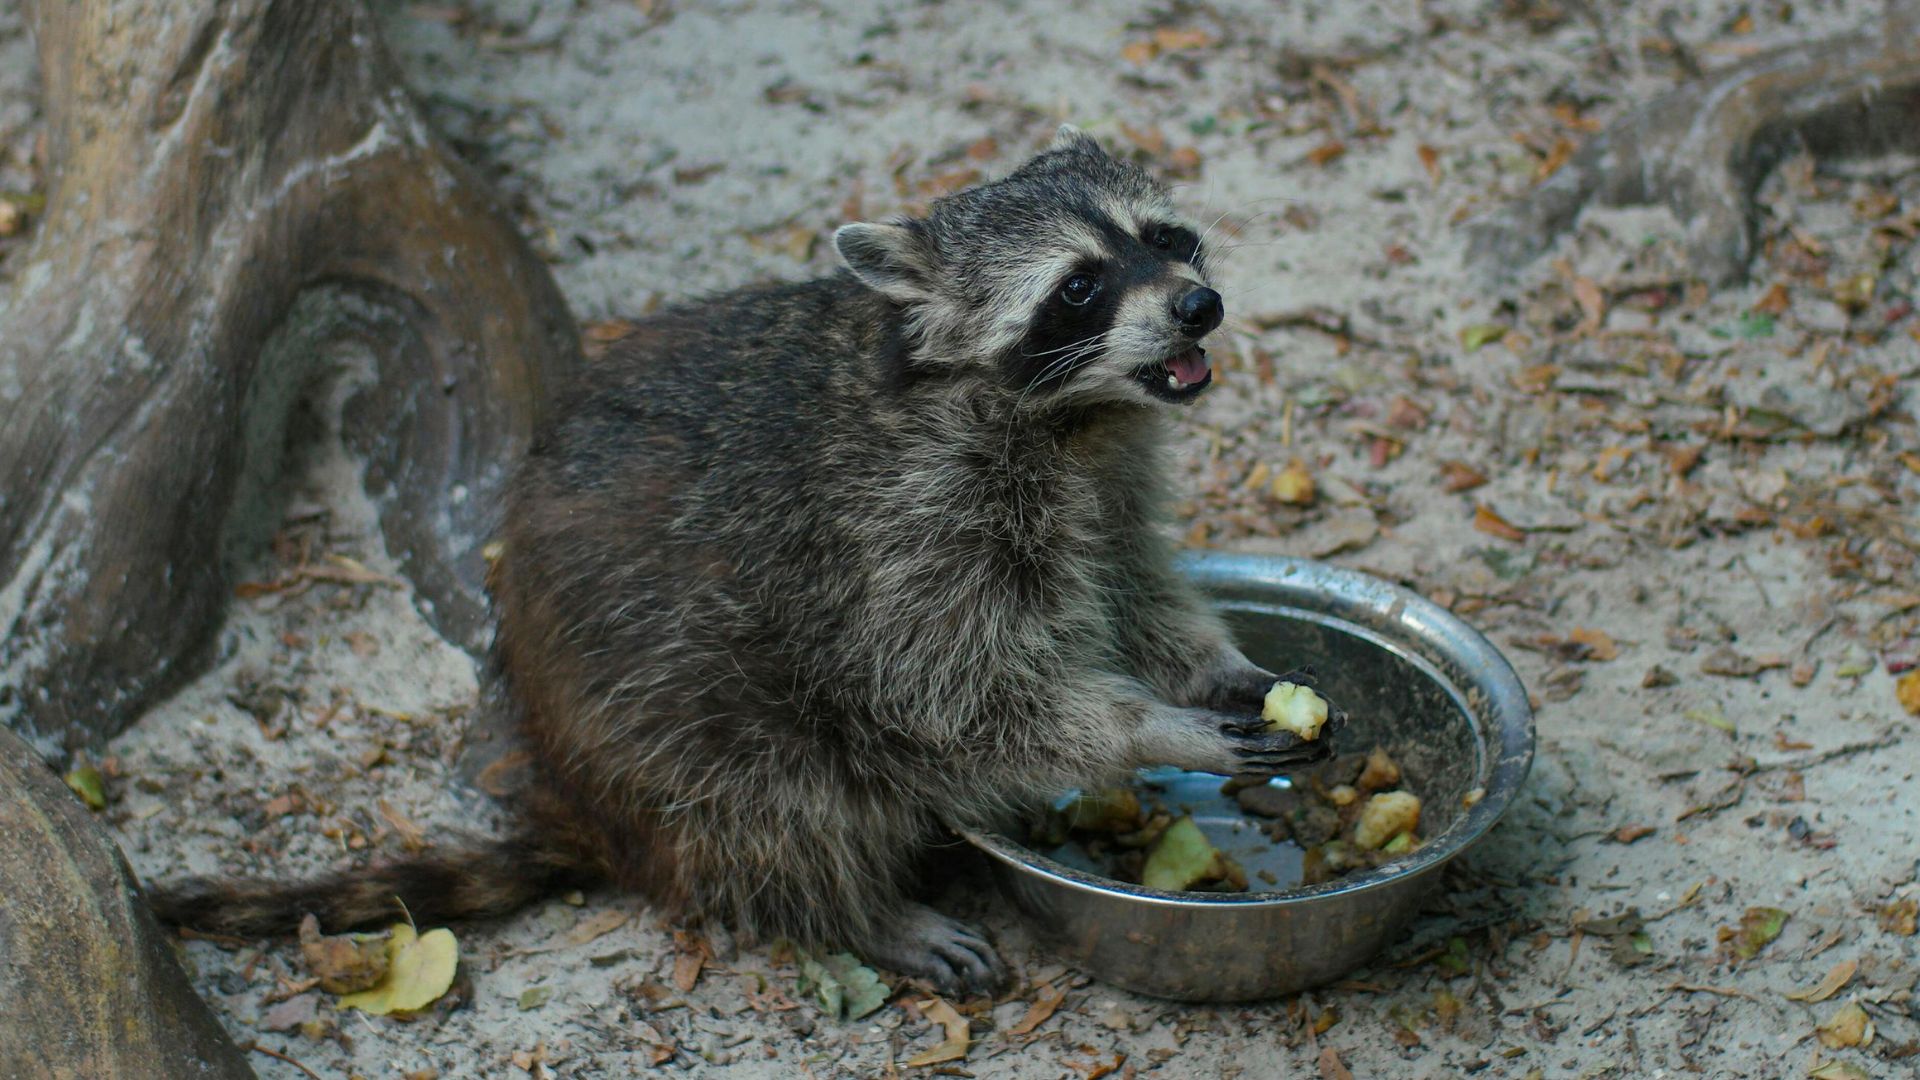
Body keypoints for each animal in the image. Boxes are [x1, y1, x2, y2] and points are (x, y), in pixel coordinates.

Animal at [150, 128, 1336, 994]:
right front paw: (1148, 725)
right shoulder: (908, 525)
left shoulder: (1109, 471)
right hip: (671, 712)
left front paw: (1209, 668)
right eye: (1079, 288)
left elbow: (1130, 580)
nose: (1197, 303)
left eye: (1166, 235)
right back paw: (859, 911)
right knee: (775, 794)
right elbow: (955, 691)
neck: (1069, 415)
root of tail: (590, 805)